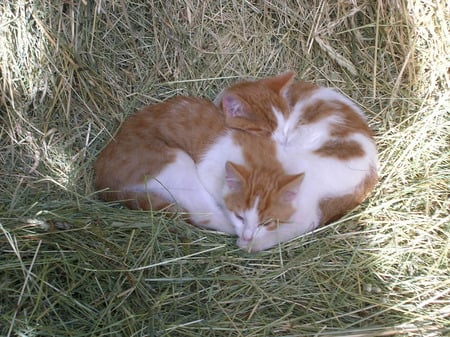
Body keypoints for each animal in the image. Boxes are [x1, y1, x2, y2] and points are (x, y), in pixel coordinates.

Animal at [95, 94, 306, 247]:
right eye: (240, 216)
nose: (247, 237)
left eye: (265, 221)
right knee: (203, 215)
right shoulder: (208, 170)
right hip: (175, 163)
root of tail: (101, 180)